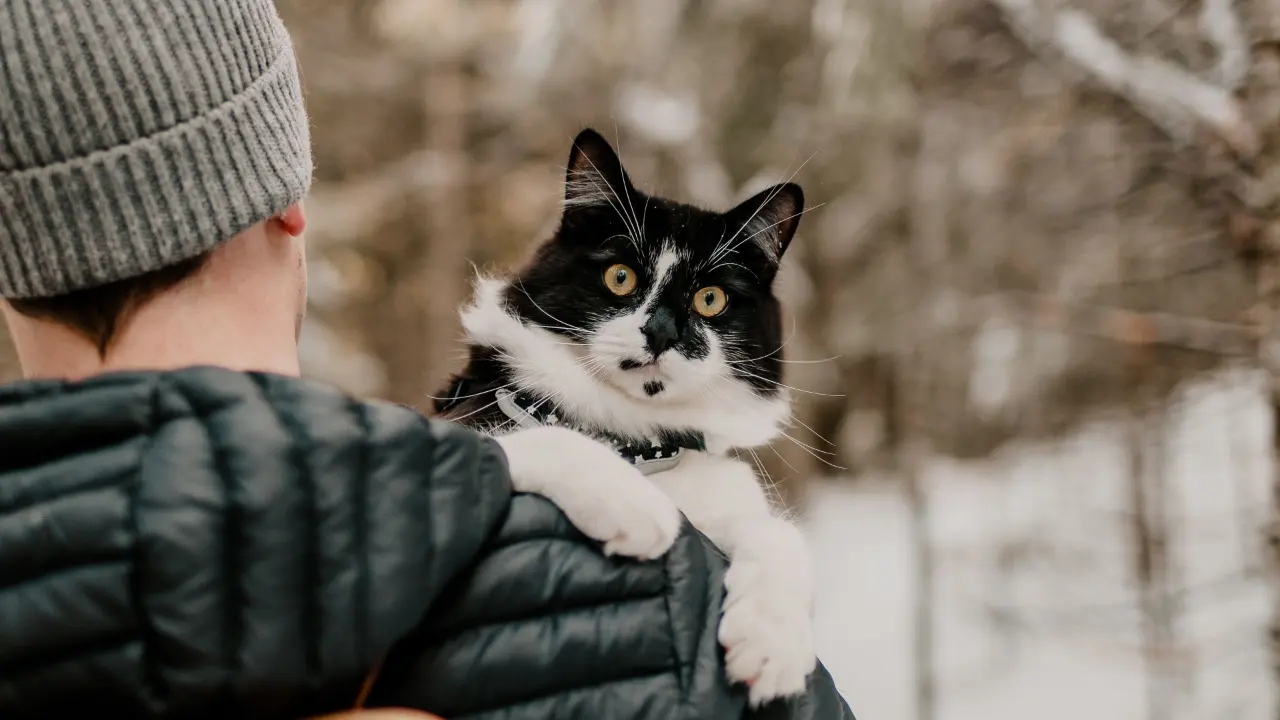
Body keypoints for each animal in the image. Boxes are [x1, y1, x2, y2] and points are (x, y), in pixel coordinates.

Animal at [435, 127, 814, 702]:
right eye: (620, 277)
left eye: (710, 299)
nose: (660, 332)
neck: (639, 441)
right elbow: (550, 439)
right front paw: (638, 507)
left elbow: (781, 536)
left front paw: (772, 647)